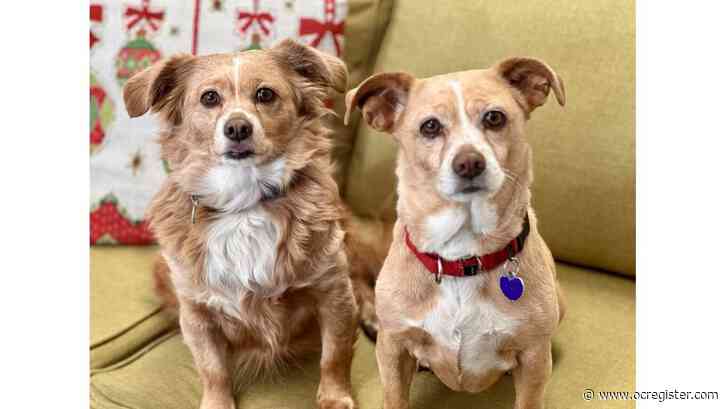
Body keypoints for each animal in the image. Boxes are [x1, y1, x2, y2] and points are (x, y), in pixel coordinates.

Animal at [126, 39, 360, 408]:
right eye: (209, 98)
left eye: (265, 94)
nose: (237, 127)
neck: (244, 202)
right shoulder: (196, 312)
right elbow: (213, 369)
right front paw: (217, 403)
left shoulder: (335, 290)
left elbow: (335, 354)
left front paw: (335, 398)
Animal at [348, 58, 568, 408]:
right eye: (430, 126)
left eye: (494, 117)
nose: (469, 163)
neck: (461, 256)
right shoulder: (392, 348)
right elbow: (395, 397)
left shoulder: (534, 360)